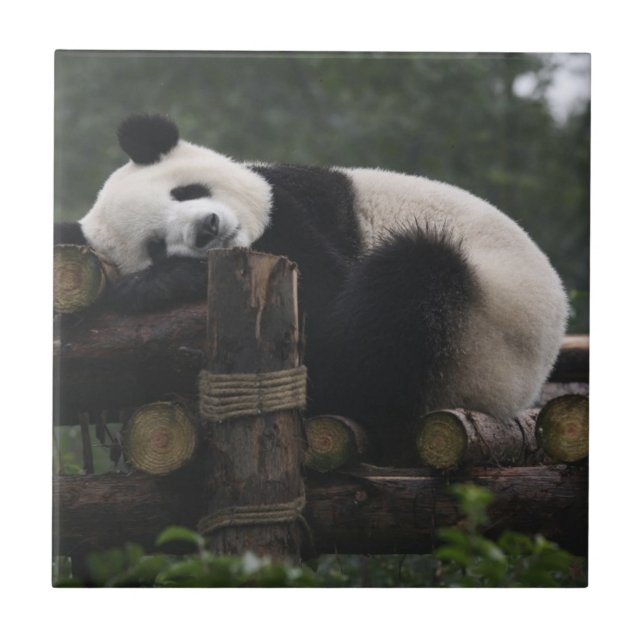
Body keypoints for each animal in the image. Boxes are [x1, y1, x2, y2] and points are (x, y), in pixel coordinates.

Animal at [55, 113, 568, 461]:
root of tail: (517, 393)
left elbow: (324, 294)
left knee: (407, 286)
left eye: (186, 192)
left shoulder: (295, 206)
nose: (207, 229)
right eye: (157, 246)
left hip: (484, 327)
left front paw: (154, 286)